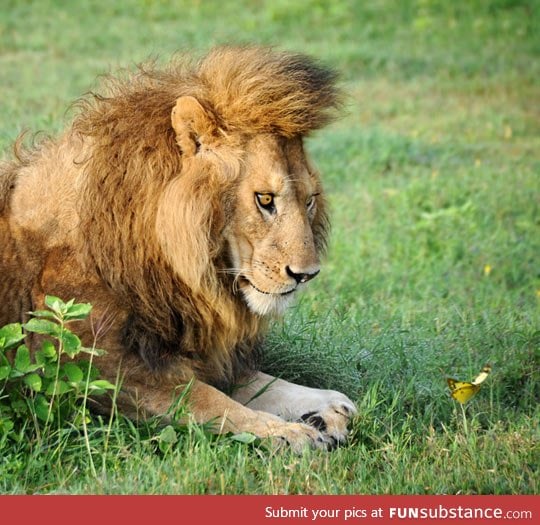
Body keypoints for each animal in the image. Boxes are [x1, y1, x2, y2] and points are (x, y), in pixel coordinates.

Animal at [1, 46, 358, 450]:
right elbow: (209, 400)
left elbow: (255, 382)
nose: (306, 275)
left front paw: (324, 407)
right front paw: (287, 432)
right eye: (265, 199)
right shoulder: (86, 363)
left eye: (310, 200)